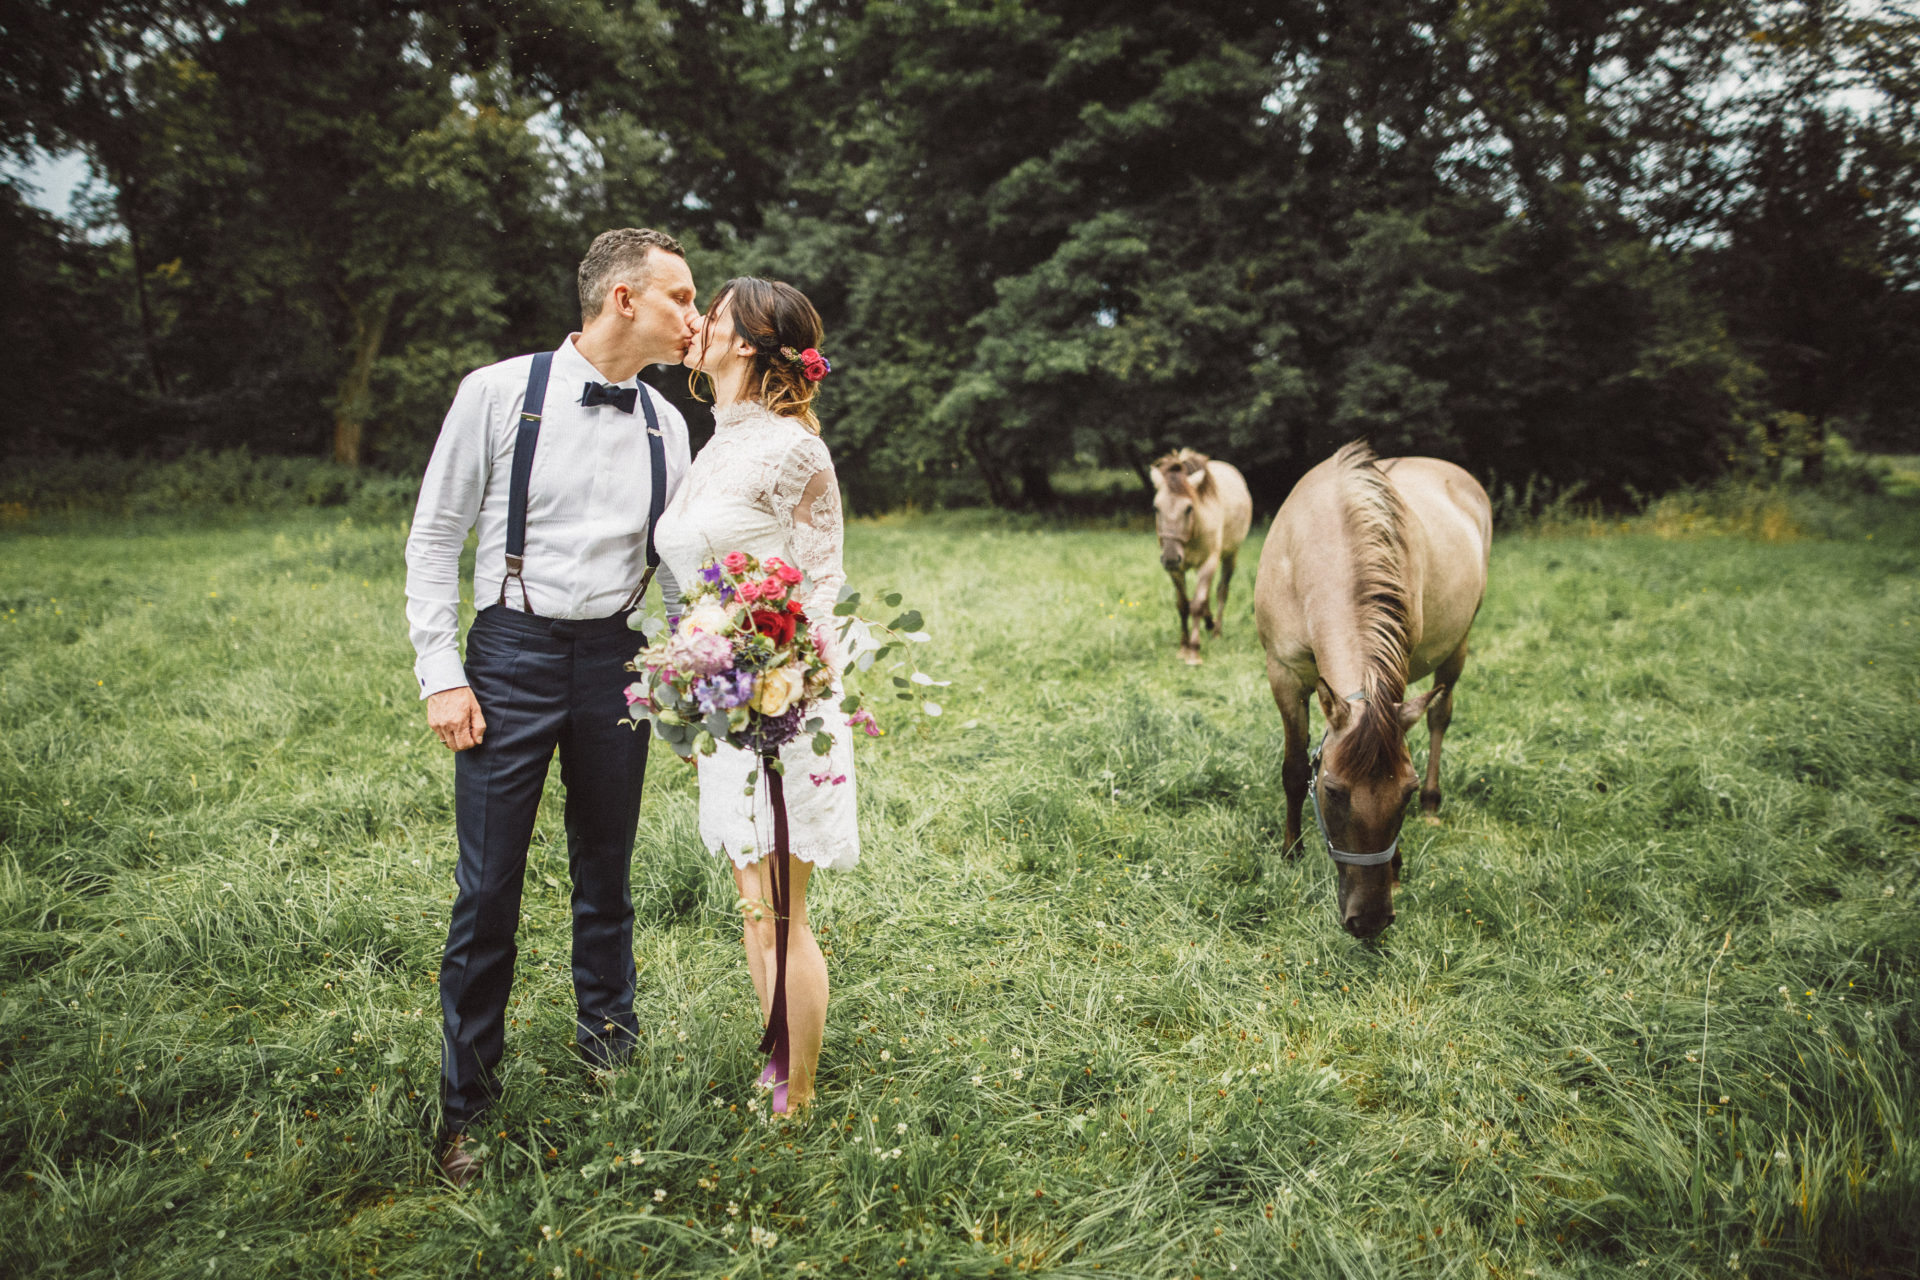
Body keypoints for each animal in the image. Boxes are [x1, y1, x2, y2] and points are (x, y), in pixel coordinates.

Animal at [1144, 450, 1251, 667]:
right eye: (1156, 508)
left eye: (1189, 508)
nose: (1170, 558)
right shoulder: (1177, 570)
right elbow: (1183, 605)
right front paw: (1183, 647)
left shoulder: (1208, 562)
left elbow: (1197, 604)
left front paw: (1193, 651)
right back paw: (1209, 623)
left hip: (1230, 555)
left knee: (1221, 591)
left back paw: (1216, 631)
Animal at [1251, 443, 1489, 940]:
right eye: (1334, 791)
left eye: (1406, 791)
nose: (1371, 920)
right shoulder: (1283, 674)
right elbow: (1292, 767)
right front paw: (1291, 851)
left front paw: (1396, 867)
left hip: (1458, 645)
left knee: (1439, 716)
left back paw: (1434, 804)